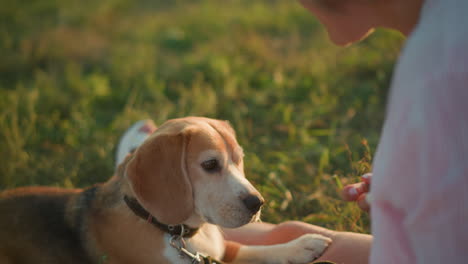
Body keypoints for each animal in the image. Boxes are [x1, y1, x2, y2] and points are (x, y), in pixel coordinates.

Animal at [0, 116, 330, 262]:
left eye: (240, 159)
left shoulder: (220, 253)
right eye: (210, 165)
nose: (257, 203)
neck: (175, 232)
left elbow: (253, 250)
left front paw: (301, 245)